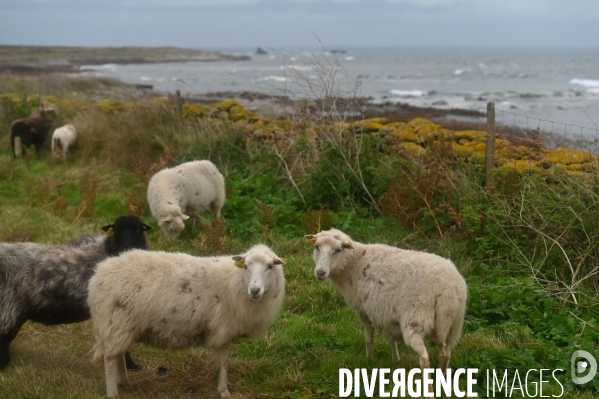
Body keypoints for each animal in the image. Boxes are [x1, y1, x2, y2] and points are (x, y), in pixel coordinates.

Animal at [0, 216, 152, 372]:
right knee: (5, 337)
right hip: (9, 306)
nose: (126, 251)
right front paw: (129, 366)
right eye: (116, 231)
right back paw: (4, 366)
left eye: (139, 230)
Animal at [88, 245, 288, 398]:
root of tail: (98, 276)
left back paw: (125, 383)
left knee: (118, 355)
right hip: (116, 323)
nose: (255, 290)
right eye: (246, 266)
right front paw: (224, 391)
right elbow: (224, 362)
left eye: (270, 266)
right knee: (110, 360)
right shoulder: (223, 329)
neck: (236, 281)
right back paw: (113, 393)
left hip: (122, 327)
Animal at [304, 230, 468, 392]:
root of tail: (446, 289)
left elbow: (369, 339)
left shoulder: (363, 312)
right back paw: (443, 383)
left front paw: (369, 359)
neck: (354, 263)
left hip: (416, 320)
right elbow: (391, 338)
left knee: (425, 359)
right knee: (445, 354)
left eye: (338, 250)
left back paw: (429, 391)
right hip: (453, 325)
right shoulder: (385, 314)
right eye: (316, 246)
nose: (320, 272)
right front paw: (396, 361)